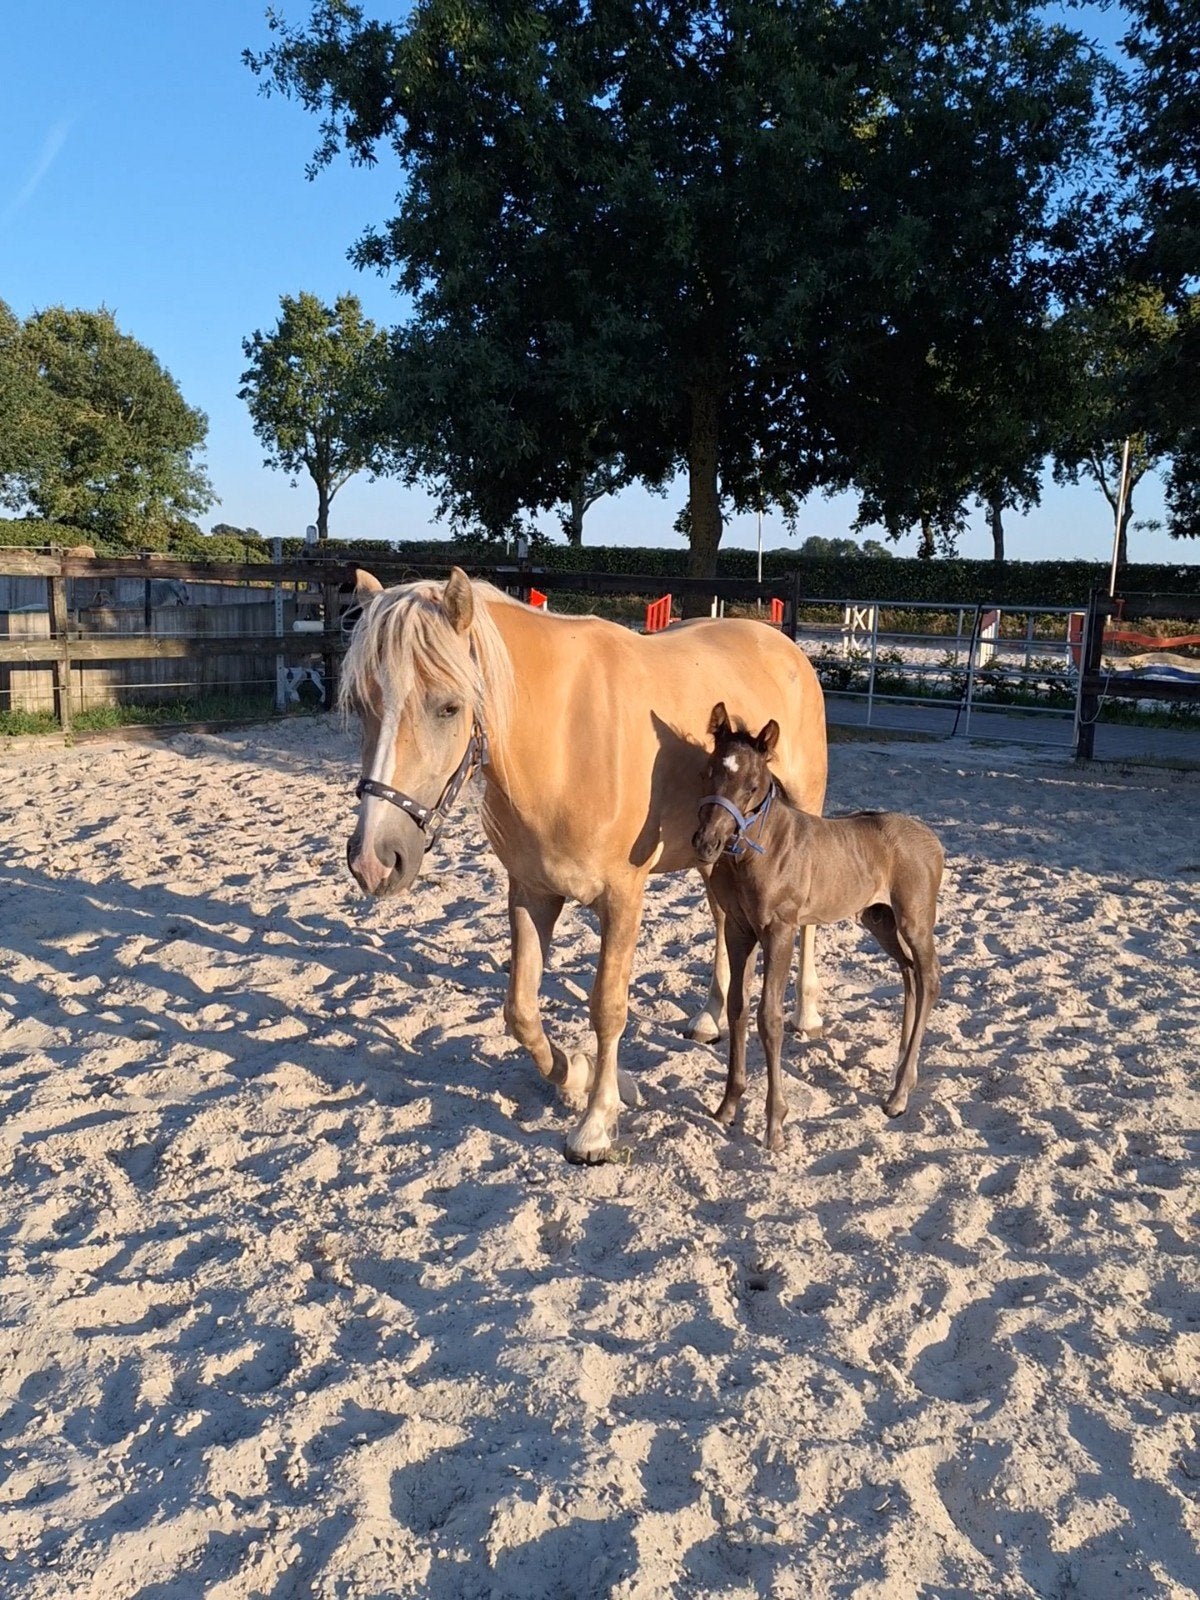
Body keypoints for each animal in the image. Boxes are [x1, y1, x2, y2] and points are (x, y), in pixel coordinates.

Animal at [342, 568, 827, 1163]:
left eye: (449, 707)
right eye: (362, 703)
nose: (373, 860)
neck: (562, 742)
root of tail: (780, 643)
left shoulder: (622, 899)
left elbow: (608, 1008)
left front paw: (595, 1123)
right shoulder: (531, 891)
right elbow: (521, 1010)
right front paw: (581, 1075)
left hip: (800, 810)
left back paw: (807, 1013)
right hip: (714, 847)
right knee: (719, 916)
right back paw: (710, 1015)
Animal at [693, 704, 943, 1150]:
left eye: (753, 785)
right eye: (709, 772)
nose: (706, 843)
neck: (761, 851)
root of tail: (934, 841)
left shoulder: (780, 931)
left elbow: (769, 1018)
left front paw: (775, 1124)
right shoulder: (740, 931)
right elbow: (738, 1008)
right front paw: (727, 1107)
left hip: (915, 920)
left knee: (929, 977)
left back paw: (899, 1096)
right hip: (879, 920)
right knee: (909, 973)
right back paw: (901, 1075)